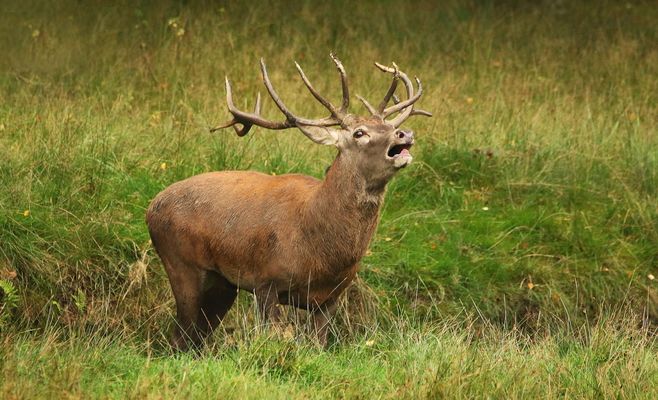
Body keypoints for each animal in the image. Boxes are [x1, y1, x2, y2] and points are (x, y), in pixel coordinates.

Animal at [146, 54, 430, 351]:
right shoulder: (265, 280)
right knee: (180, 335)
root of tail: (151, 207)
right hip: (180, 261)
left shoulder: (333, 296)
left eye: (389, 126)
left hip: (221, 283)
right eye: (359, 133)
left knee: (196, 336)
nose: (403, 133)